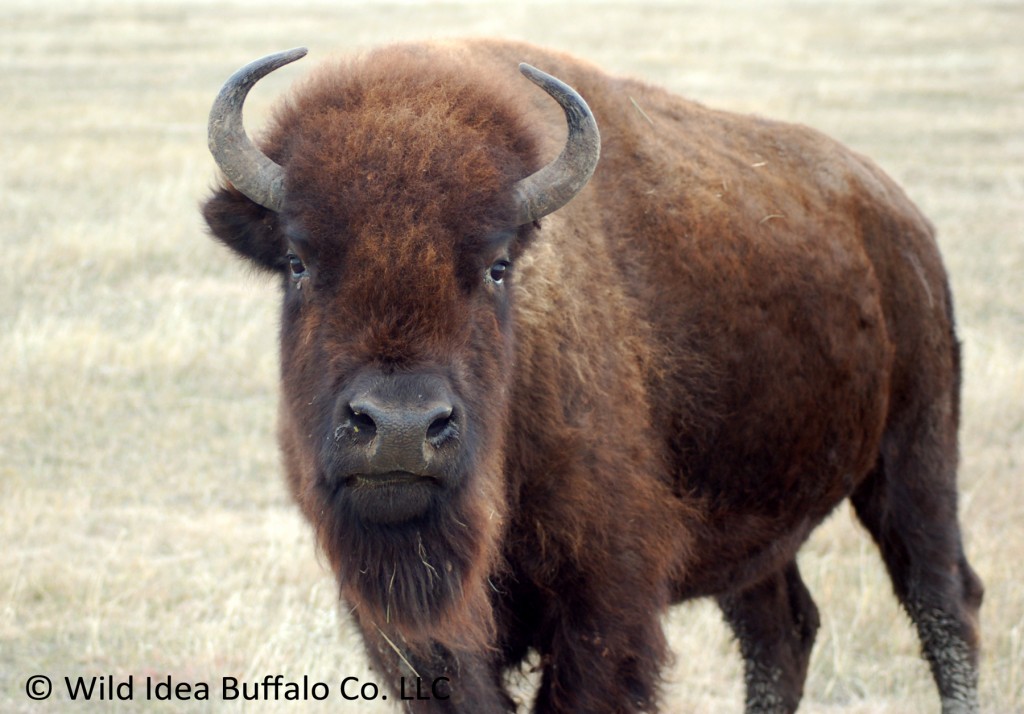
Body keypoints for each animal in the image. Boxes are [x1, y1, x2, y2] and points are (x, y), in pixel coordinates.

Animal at [202, 40, 983, 714]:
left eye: (497, 266)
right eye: (298, 261)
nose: (398, 428)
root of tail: (898, 216)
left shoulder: (606, 599)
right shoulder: (417, 638)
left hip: (915, 457)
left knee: (944, 603)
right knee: (782, 632)